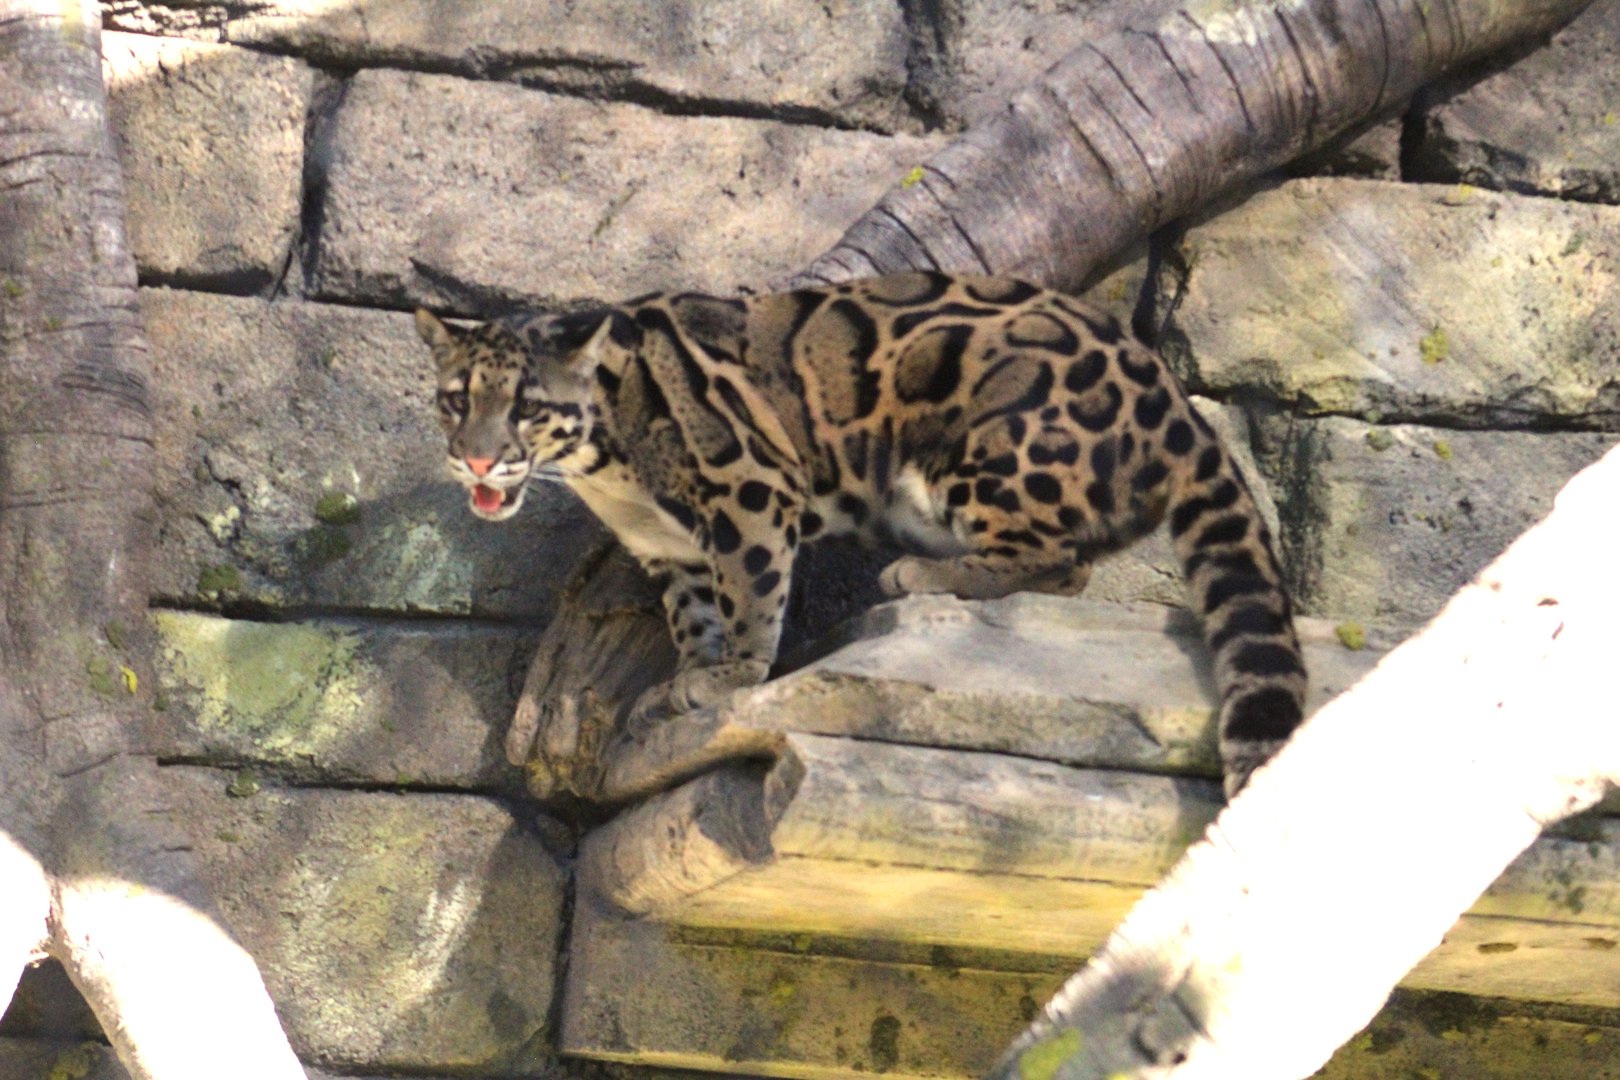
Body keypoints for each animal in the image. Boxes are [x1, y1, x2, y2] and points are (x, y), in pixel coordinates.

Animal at [417, 271, 1306, 795]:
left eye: (527, 408)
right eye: (456, 401)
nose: (478, 460)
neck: (603, 454)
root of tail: (1173, 397)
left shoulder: (751, 483)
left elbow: (751, 593)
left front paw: (732, 674)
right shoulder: (670, 549)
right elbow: (695, 613)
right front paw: (691, 674)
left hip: (988, 438)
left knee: (1061, 562)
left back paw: (929, 574)